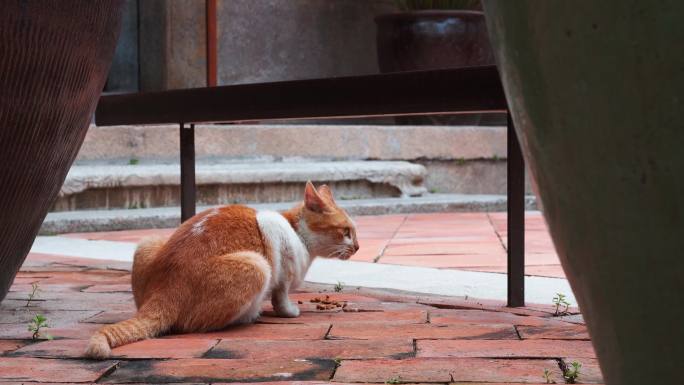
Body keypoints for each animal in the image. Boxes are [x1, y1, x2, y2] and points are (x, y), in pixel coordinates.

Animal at [85, 180, 358, 356]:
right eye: (346, 231)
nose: (357, 246)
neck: (297, 232)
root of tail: (163, 293)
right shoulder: (278, 254)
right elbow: (281, 297)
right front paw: (289, 311)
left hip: (146, 243)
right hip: (258, 265)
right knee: (196, 324)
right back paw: (249, 315)